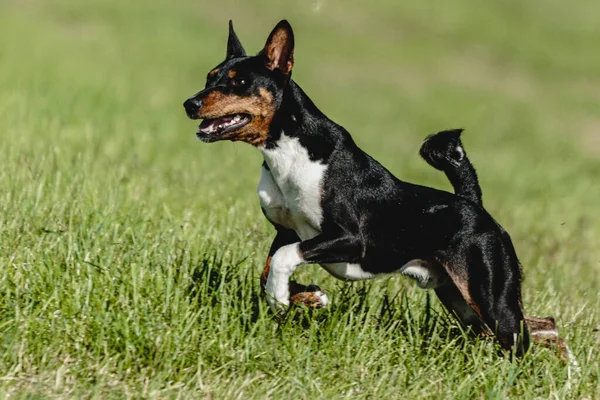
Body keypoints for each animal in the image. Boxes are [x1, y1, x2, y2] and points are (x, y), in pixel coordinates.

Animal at [185, 19, 576, 360]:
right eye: (209, 77)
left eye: (239, 81)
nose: (190, 104)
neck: (288, 152)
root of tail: (472, 203)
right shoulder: (287, 231)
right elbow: (268, 269)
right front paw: (310, 297)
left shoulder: (350, 239)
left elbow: (281, 261)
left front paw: (282, 299)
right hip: (464, 302)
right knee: (544, 326)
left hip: (490, 299)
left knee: (526, 336)